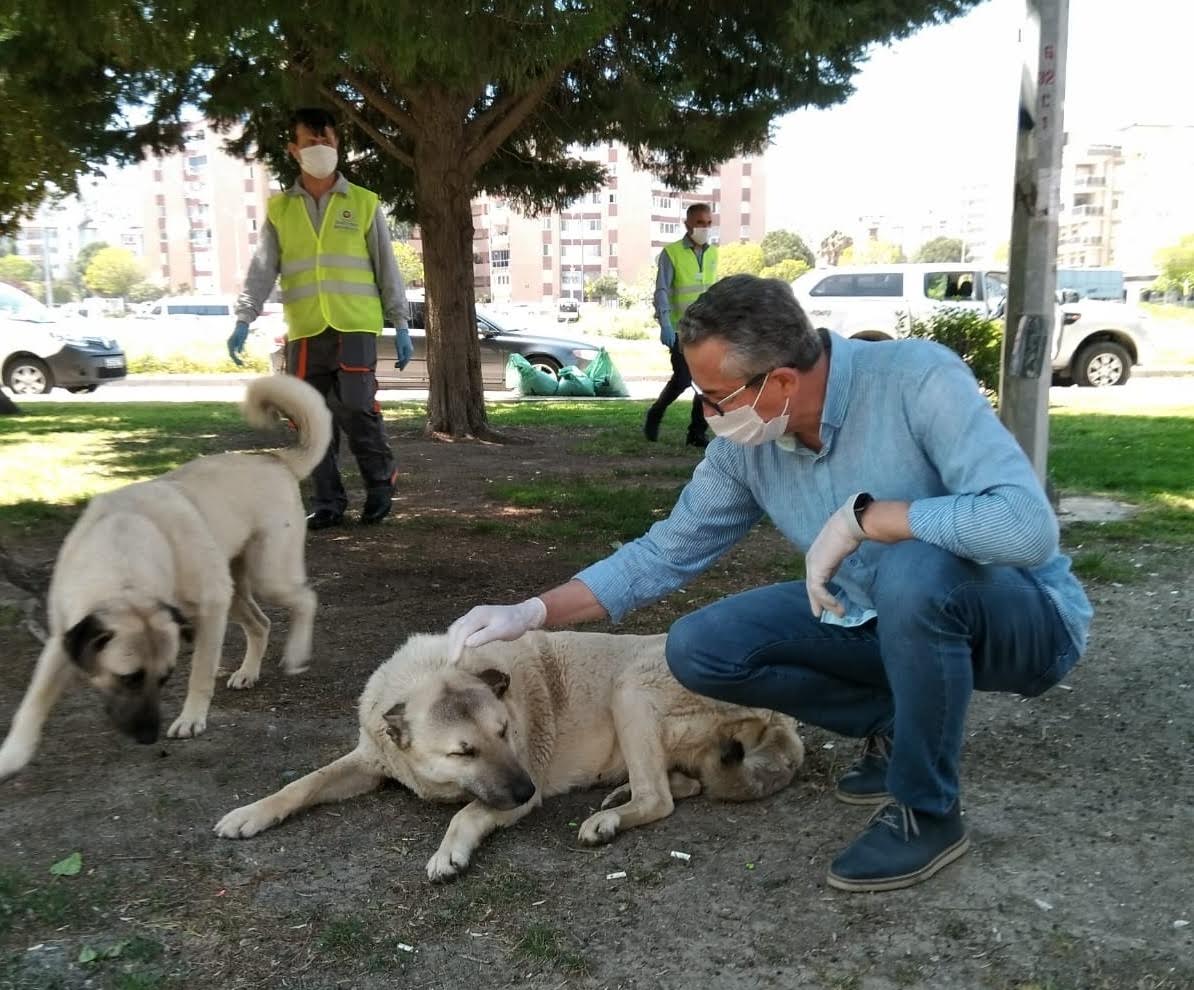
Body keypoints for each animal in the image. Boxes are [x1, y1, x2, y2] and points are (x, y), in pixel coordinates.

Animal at [0, 374, 331, 778]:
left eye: (165, 678)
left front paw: (191, 719)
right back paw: (247, 672)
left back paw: (296, 654)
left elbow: (201, 673)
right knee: (261, 624)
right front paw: (12, 754)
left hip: (267, 576)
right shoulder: (63, 637)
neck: (123, 553)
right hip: (236, 590)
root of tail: (275, 458)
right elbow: (32, 701)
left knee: (306, 600)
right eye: (127, 677)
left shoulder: (210, 611)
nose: (148, 736)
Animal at [219, 630, 807, 878]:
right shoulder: (371, 760)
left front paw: (449, 852)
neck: (431, 672)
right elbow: (304, 783)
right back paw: (616, 795)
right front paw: (250, 814)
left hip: (630, 691)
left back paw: (609, 819)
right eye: (464, 751)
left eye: (505, 732)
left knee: (659, 798)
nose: (527, 789)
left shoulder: (507, 791)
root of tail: (783, 716)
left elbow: (466, 812)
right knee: (680, 784)